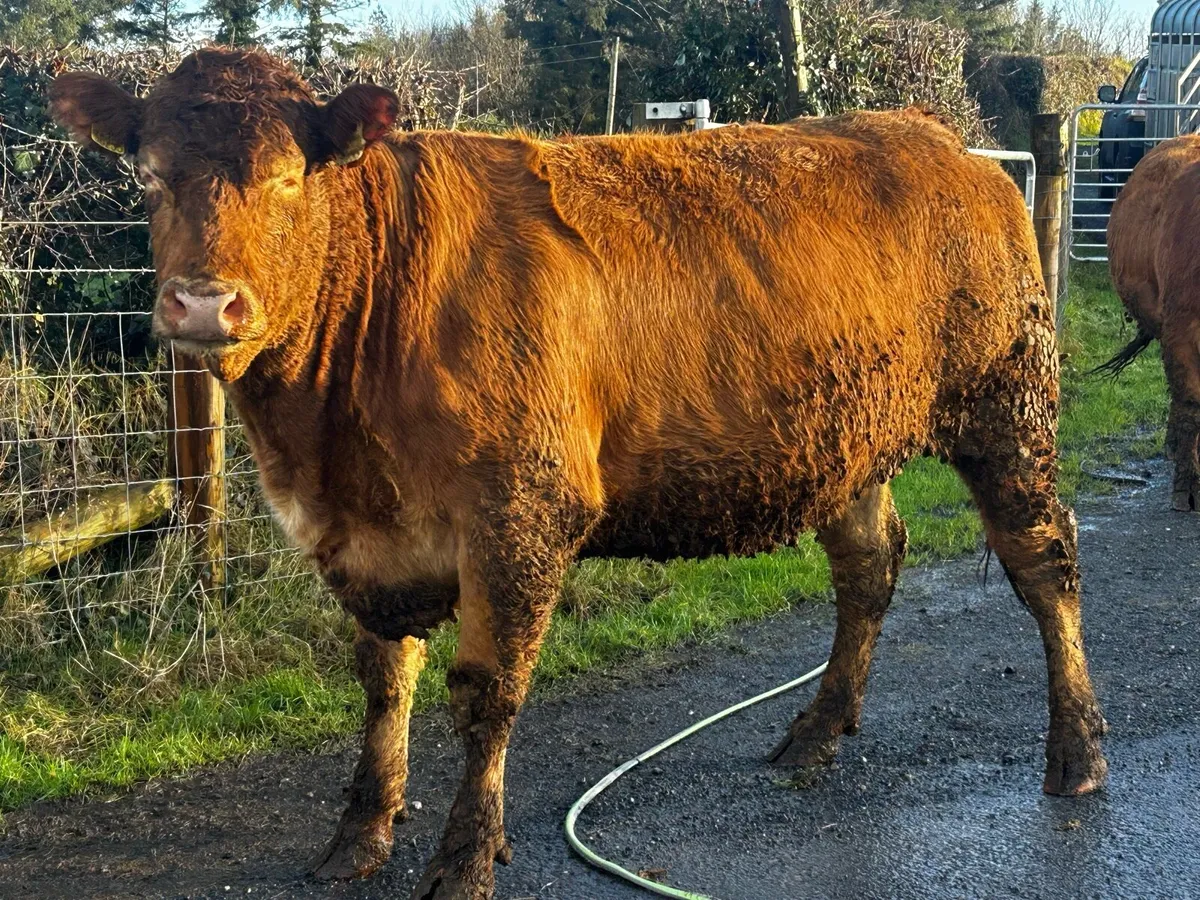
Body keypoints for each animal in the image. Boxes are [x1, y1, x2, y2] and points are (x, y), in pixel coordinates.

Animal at [50, 48, 1108, 899]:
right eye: (147, 174)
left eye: (284, 181)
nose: (202, 305)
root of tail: (931, 135)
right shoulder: (362, 537)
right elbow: (383, 682)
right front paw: (360, 833)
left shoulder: (520, 511)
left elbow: (485, 692)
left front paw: (464, 858)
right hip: (844, 438)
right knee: (870, 563)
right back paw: (816, 730)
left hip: (1005, 405)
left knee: (1044, 562)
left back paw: (1077, 751)